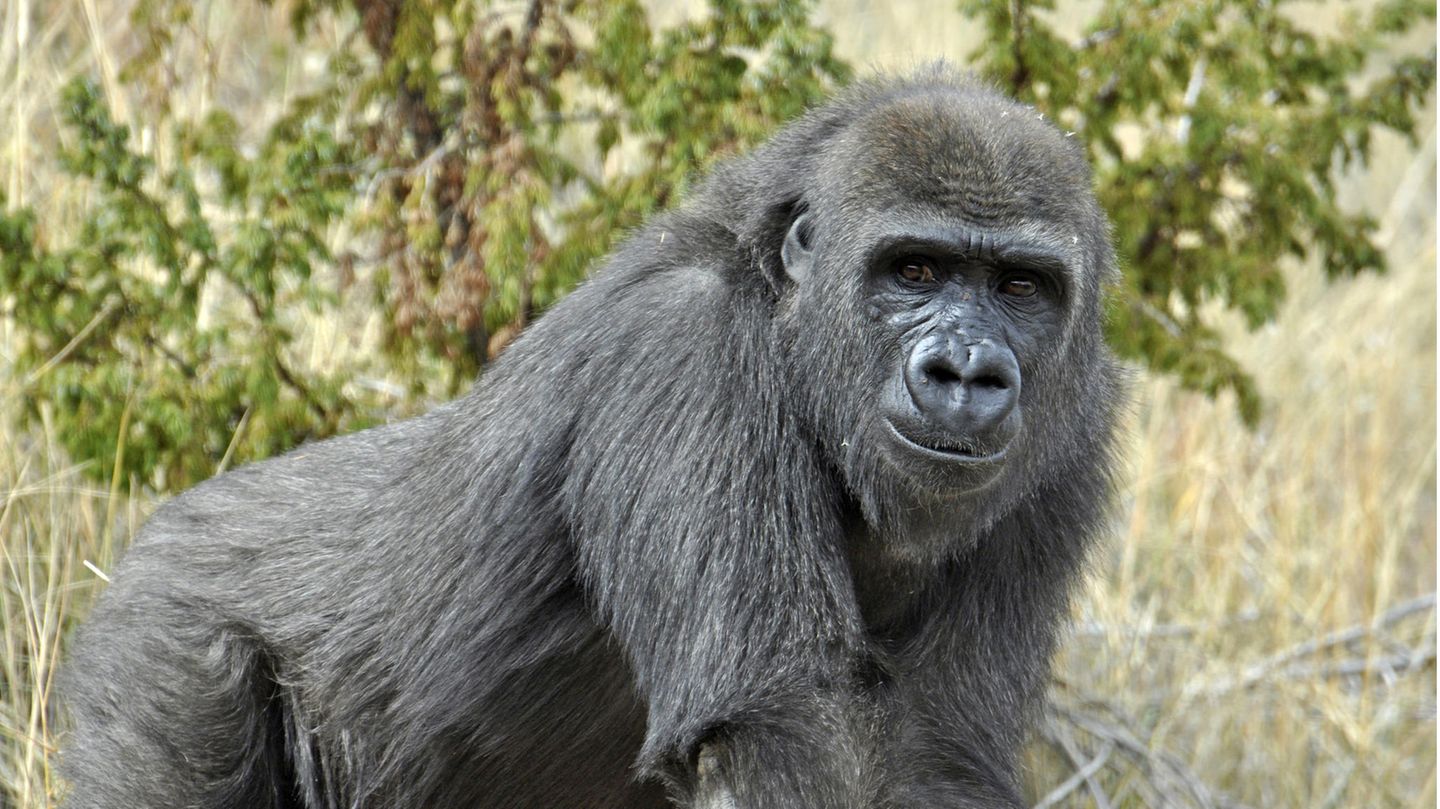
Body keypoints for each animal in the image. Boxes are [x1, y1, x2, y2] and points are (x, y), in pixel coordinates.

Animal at [61, 70, 1123, 806]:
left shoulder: (1074, 441)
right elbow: (784, 728)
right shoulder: (684, 347)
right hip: (157, 642)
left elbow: (938, 754)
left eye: (1020, 286)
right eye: (914, 270)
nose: (967, 371)